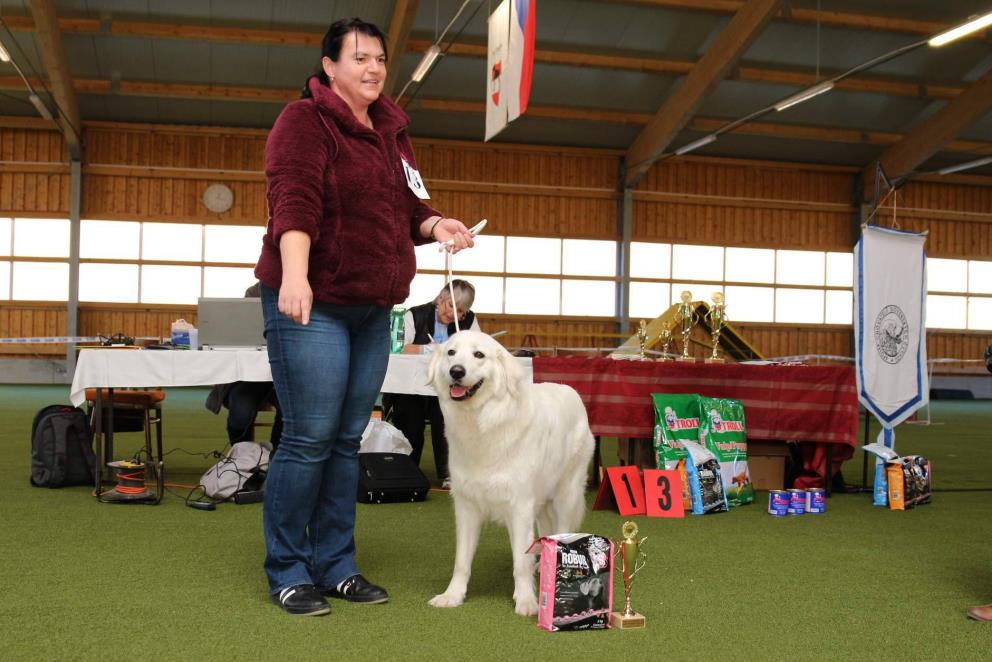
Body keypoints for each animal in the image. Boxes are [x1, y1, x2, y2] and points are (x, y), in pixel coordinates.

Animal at [424, 332, 592, 616]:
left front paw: (526, 601)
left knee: (562, 530)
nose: (456, 371)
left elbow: (520, 563)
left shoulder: (520, 507)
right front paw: (453, 596)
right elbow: (462, 561)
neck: (482, 423)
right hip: (543, 501)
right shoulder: (466, 508)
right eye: (451, 353)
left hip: (565, 495)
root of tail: (570, 390)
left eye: (479, 355)